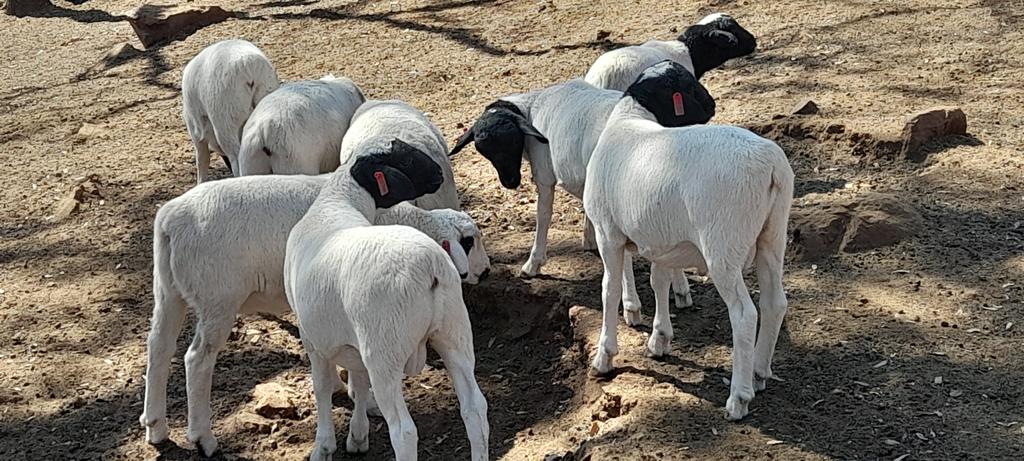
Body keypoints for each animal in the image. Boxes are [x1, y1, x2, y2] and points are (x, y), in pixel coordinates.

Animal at [139, 175, 489, 456]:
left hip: (170, 291)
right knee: (196, 359)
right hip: (217, 300)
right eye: (468, 241)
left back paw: (155, 426)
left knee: (159, 347)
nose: (485, 272)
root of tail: (170, 217)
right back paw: (203, 438)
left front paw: (351, 398)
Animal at [284, 144, 488, 460]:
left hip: (385, 352)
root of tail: (429, 267)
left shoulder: (313, 339)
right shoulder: (352, 343)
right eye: (405, 157)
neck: (338, 203)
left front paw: (323, 445)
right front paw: (357, 434)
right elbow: (358, 381)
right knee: (476, 408)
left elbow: (322, 388)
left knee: (403, 431)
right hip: (454, 333)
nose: (439, 173)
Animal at [448, 77, 694, 323]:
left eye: (513, 141)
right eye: (484, 150)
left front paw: (533, 264)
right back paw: (680, 291)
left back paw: (631, 306)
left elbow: (543, 216)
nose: (510, 181)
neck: (532, 108)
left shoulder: (545, 176)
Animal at [583, 61, 793, 421]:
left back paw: (739, 397)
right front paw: (660, 340)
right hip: (772, 235)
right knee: (774, 303)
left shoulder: (607, 233)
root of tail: (771, 165)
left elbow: (609, 290)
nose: (712, 105)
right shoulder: (662, 241)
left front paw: (604, 357)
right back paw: (759, 372)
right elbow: (659, 281)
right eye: (690, 87)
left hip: (723, 247)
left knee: (744, 314)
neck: (628, 119)